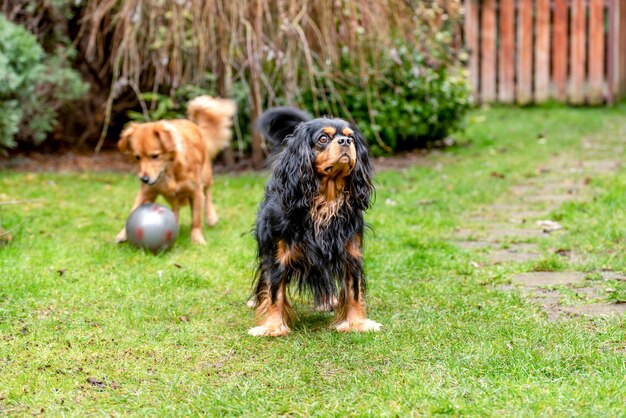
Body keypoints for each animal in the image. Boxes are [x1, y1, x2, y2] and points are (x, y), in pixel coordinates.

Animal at [116, 96, 235, 243]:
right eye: (137, 157)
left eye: (155, 156)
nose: (144, 179)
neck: (169, 172)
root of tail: (194, 125)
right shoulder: (147, 192)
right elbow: (134, 210)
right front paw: (123, 233)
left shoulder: (195, 192)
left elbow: (196, 219)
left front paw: (197, 239)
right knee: (175, 209)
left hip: (206, 175)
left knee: (207, 193)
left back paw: (211, 217)